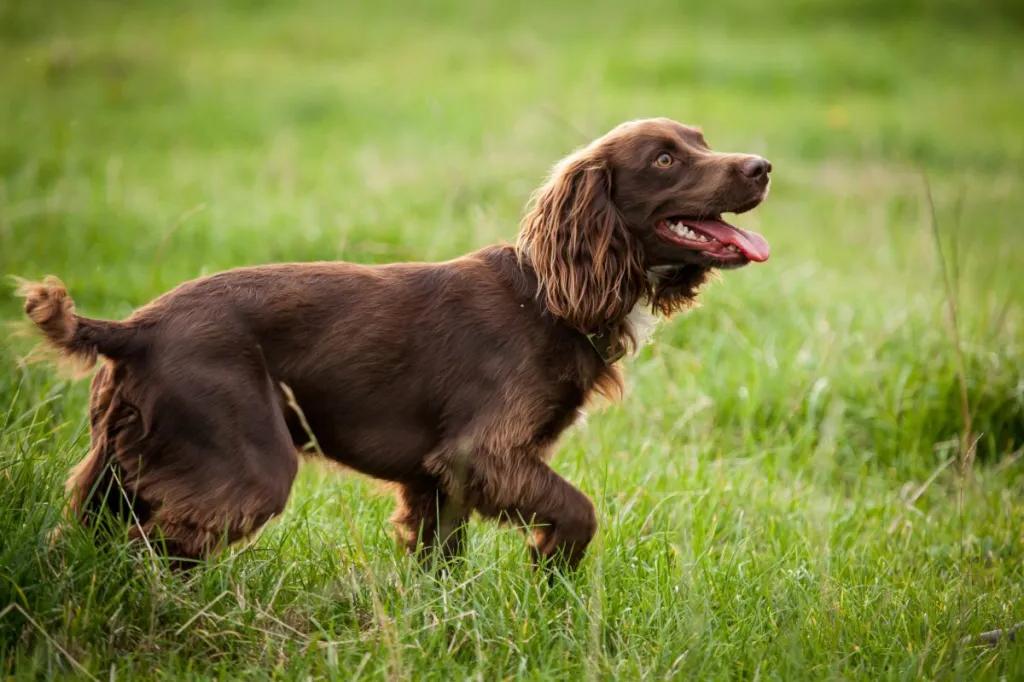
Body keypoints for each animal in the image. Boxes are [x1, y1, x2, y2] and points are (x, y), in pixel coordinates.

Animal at [19, 119, 770, 565]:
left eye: (702, 139)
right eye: (666, 158)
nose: (762, 166)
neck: (547, 296)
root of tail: (134, 329)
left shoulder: (438, 480)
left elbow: (442, 564)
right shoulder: (483, 454)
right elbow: (579, 511)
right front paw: (549, 570)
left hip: (118, 469)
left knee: (83, 540)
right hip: (244, 467)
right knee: (148, 550)